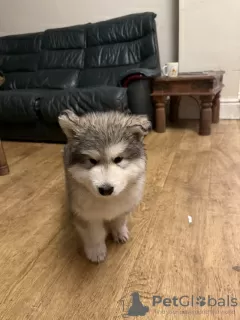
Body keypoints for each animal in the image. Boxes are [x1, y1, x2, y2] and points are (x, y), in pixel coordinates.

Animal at [58, 110, 151, 262]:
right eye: (92, 161)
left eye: (118, 159)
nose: (106, 189)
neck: (108, 200)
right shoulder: (87, 215)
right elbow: (95, 234)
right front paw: (96, 250)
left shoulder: (124, 206)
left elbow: (119, 220)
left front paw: (119, 232)